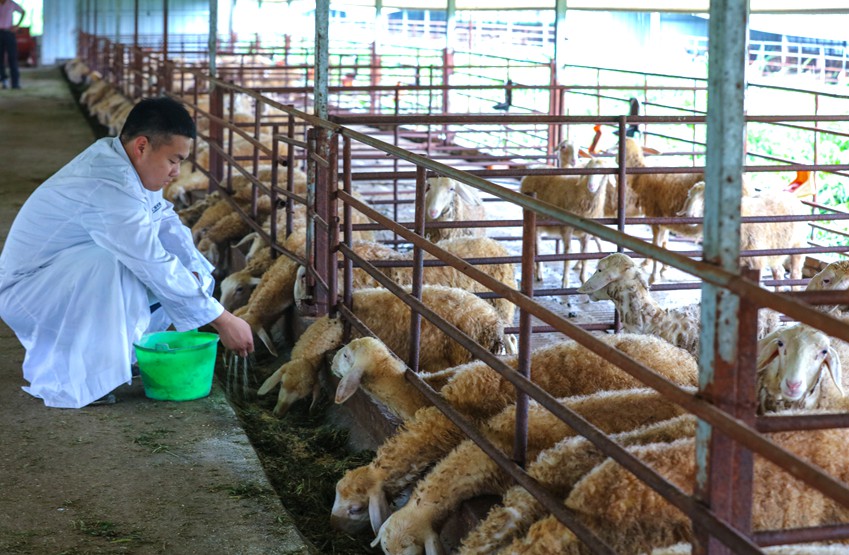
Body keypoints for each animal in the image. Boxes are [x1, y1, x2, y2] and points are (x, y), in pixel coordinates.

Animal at [520, 155, 612, 286]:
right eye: (588, 169)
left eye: (603, 172)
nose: (591, 186)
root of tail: (535, 168)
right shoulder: (567, 228)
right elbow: (568, 255)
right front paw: (565, 281)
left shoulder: (587, 234)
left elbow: (585, 256)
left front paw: (583, 279)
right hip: (535, 221)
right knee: (537, 246)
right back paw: (539, 273)